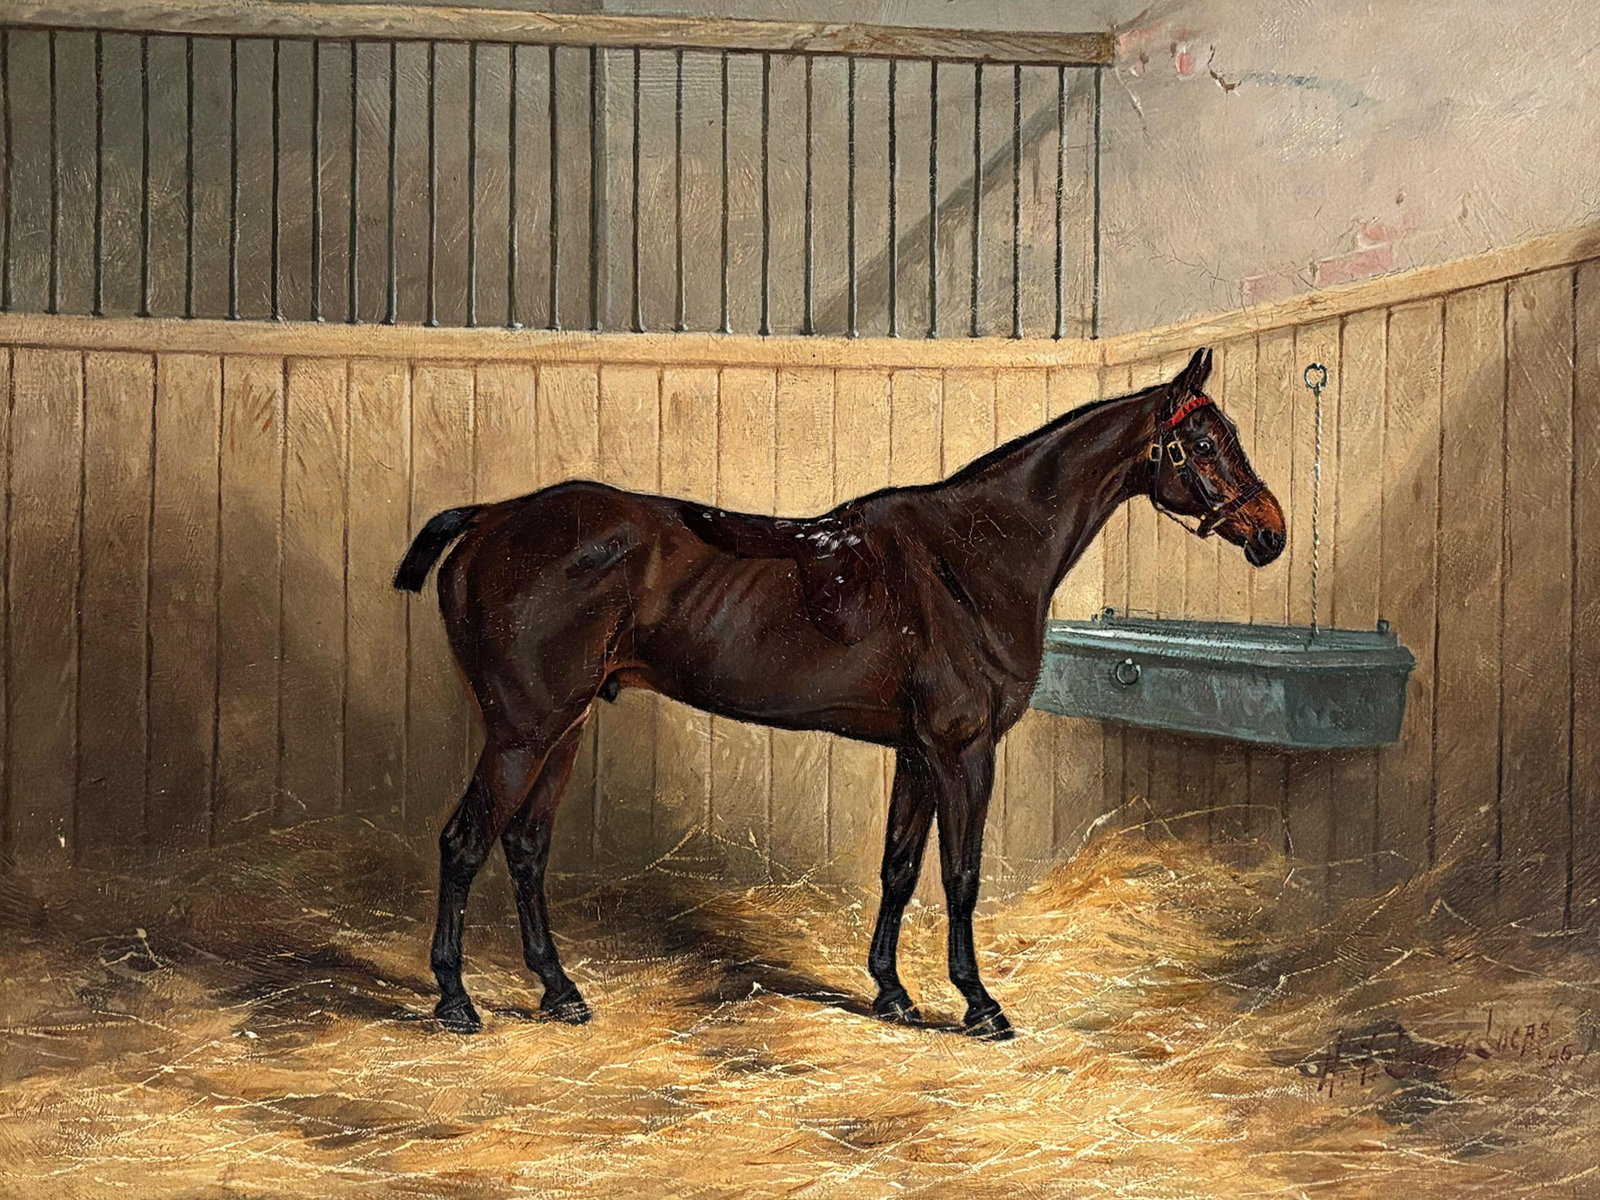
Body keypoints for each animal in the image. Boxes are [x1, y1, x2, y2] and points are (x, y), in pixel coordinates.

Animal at [393, 346, 1285, 1041]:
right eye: (1205, 442)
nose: (1272, 533)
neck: (970, 561)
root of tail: (489, 519)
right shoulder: (963, 750)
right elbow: (960, 873)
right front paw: (979, 1004)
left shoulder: (919, 751)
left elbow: (899, 866)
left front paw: (891, 992)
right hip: (524, 729)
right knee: (466, 842)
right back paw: (456, 1002)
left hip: (565, 725)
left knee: (525, 845)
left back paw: (561, 992)